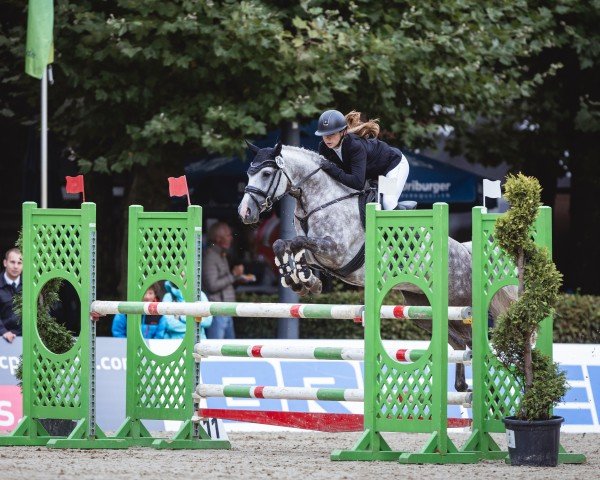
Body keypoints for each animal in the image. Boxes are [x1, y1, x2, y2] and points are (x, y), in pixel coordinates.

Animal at [237, 141, 512, 392]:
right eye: (248, 173)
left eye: (266, 173)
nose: (245, 212)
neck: (319, 201)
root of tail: (466, 252)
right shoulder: (320, 256)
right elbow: (285, 246)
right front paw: (301, 280)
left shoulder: (336, 251)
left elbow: (297, 243)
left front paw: (302, 279)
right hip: (422, 308)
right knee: (460, 343)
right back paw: (463, 387)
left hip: (459, 303)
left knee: (475, 340)